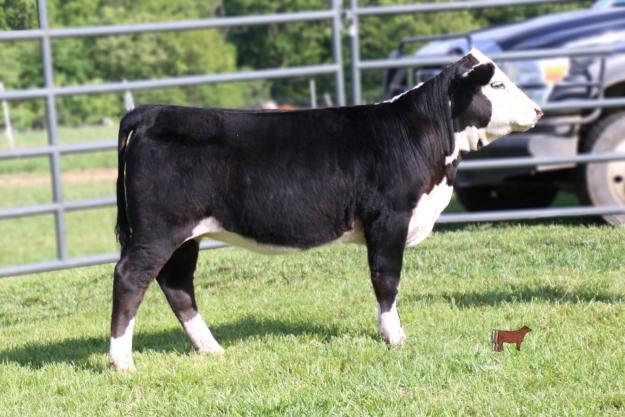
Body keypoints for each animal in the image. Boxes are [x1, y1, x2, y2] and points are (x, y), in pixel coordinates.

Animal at [109, 49, 542, 372]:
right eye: (498, 84)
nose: (538, 111)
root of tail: (152, 111)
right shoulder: (389, 218)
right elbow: (386, 279)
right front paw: (394, 337)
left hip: (186, 235)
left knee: (177, 284)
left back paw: (210, 347)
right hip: (158, 230)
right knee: (131, 278)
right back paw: (121, 361)